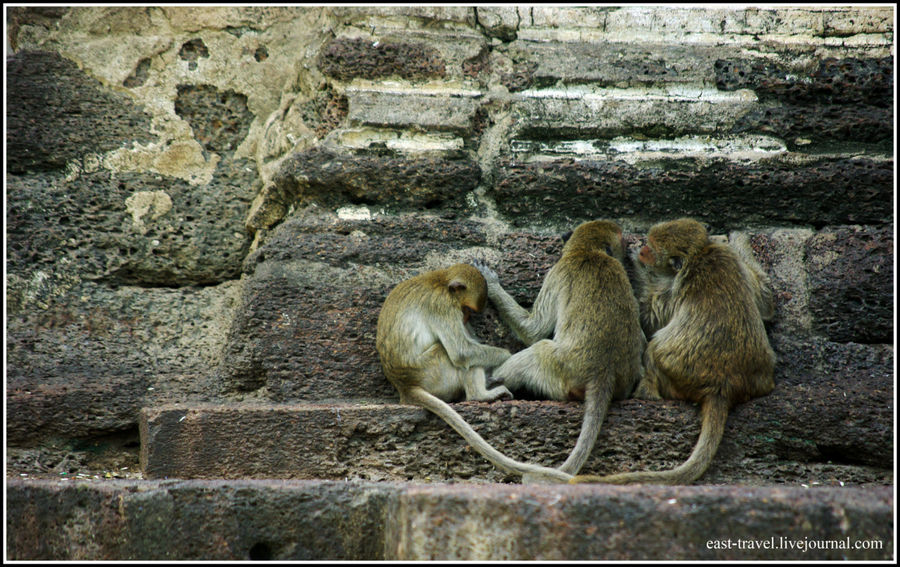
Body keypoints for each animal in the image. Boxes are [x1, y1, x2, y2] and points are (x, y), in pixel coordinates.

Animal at [376, 264, 572, 482]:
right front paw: (507, 356)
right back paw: (481, 395)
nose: (466, 318)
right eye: (467, 309)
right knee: (455, 355)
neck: (441, 281)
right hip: (433, 372)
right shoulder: (443, 306)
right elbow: (462, 352)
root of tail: (405, 386)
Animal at [474, 220, 644, 478]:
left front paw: (492, 285)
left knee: (539, 349)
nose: (628, 248)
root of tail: (604, 373)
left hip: (560, 371)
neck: (588, 251)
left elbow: (534, 329)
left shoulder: (557, 273)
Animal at [568, 220, 772, 486]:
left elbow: (650, 316)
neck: (699, 253)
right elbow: (766, 299)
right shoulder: (728, 258)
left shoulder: (677, 284)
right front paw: (737, 237)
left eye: (652, 249)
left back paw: (647, 391)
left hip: (679, 372)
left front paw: (636, 265)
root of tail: (723, 387)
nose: (643, 248)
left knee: (655, 348)